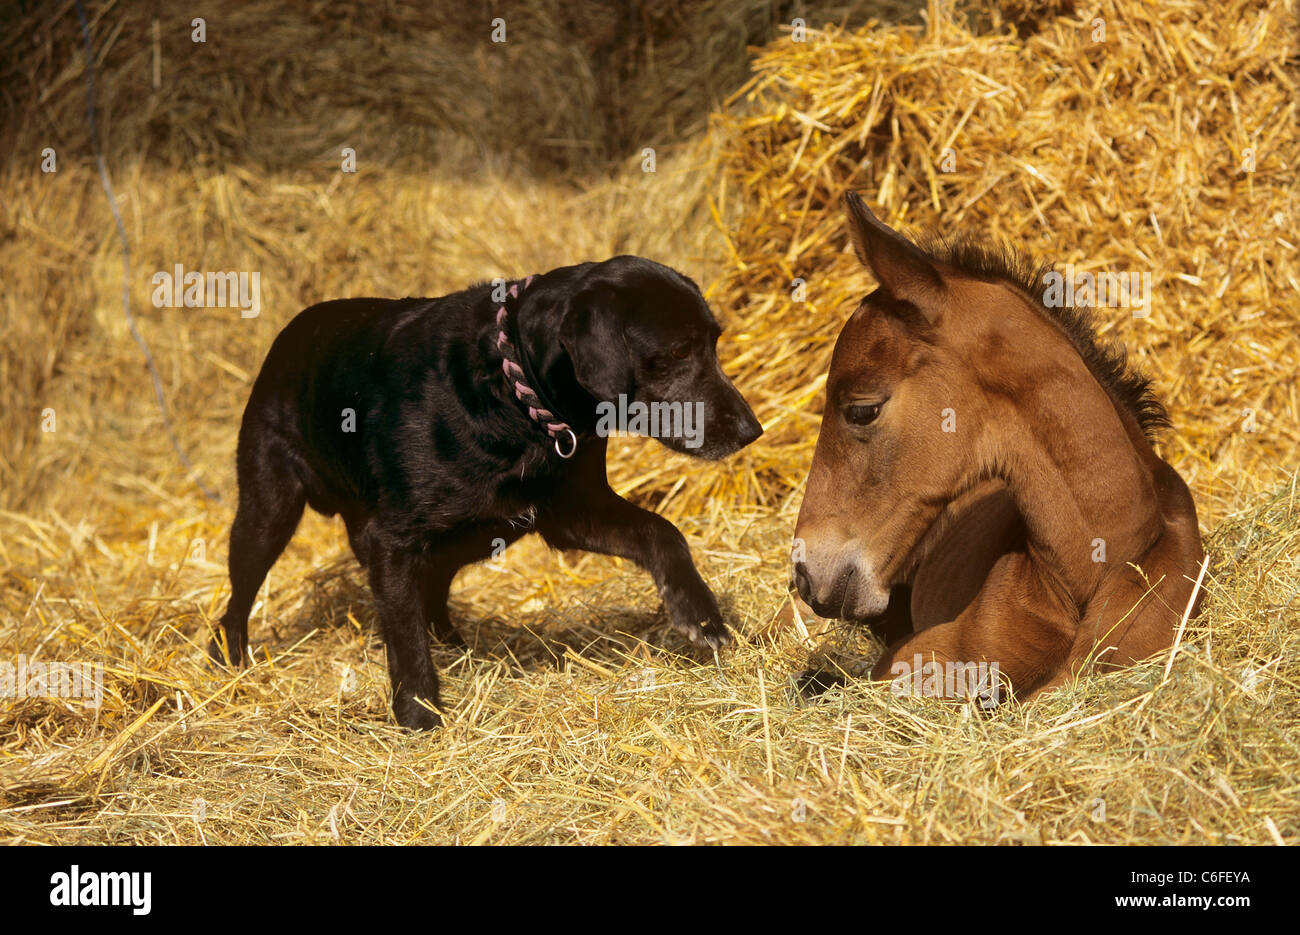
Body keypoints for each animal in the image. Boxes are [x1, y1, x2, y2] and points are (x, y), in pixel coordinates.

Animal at [211, 256, 759, 733]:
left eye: (713, 342)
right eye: (680, 351)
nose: (752, 430)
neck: (516, 389)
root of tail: (290, 332)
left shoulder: (572, 511)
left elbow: (663, 533)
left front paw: (699, 613)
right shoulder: (391, 539)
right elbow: (404, 637)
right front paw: (419, 716)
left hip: (476, 532)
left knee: (433, 589)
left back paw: (456, 647)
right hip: (268, 510)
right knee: (239, 596)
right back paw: (229, 661)